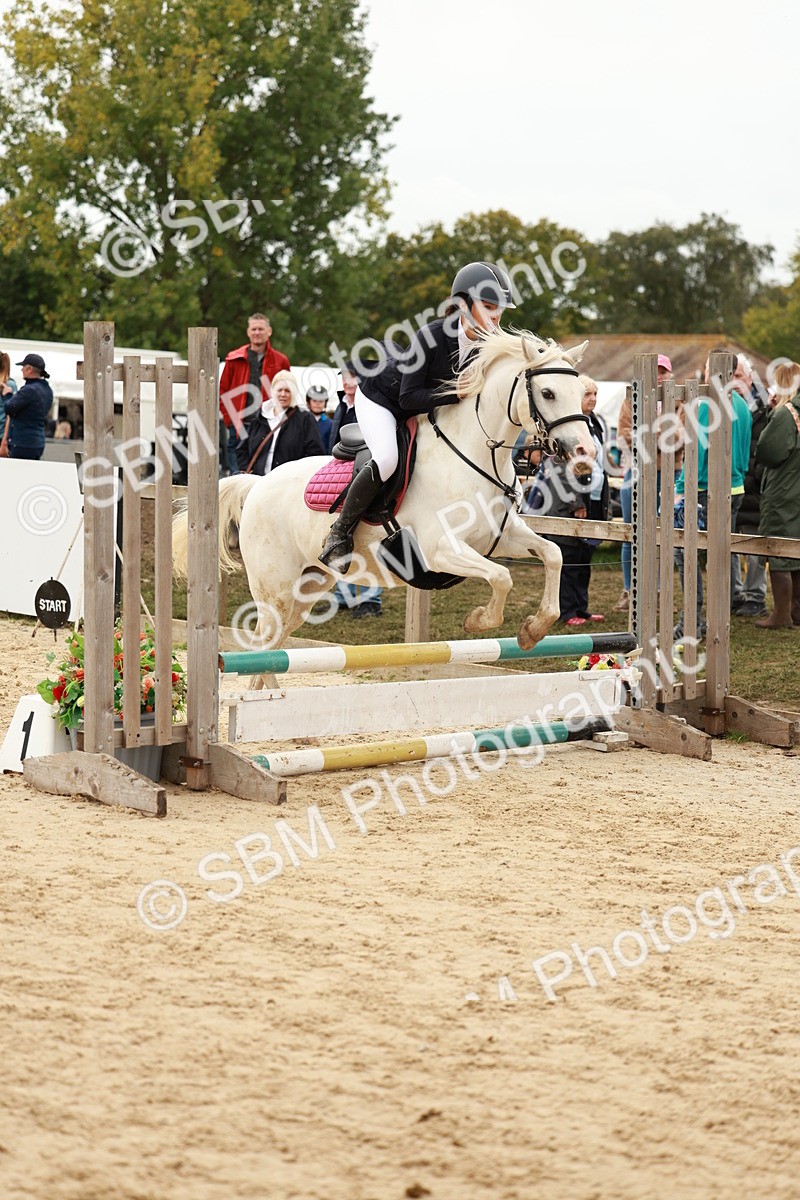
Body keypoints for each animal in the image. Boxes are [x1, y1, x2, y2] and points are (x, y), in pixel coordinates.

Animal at [173, 328, 595, 655]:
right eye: (548, 393)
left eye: (580, 392)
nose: (584, 453)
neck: (475, 454)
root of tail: (258, 482)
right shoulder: (440, 549)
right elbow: (503, 577)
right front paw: (479, 620)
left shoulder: (500, 537)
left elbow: (553, 554)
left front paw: (533, 630)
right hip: (274, 587)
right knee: (264, 643)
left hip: (309, 584)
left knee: (274, 648)